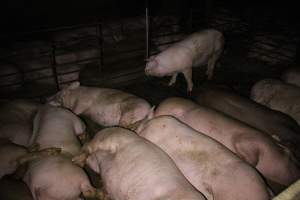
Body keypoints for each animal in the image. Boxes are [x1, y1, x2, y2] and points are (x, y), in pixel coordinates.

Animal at [152, 97, 300, 190]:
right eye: (289, 156)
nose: (298, 174)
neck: (269, 147)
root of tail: (159, 107)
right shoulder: (248, 140)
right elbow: (249, 154)